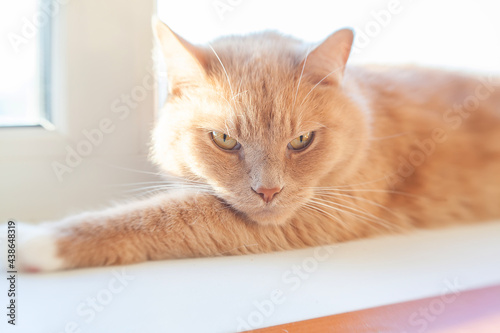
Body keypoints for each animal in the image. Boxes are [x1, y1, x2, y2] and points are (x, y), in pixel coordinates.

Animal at [7, 19, 500, 272]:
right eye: (224, 140)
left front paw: (39, 240)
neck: (372, 120)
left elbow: (168, 215)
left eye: (301, 140)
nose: (268, 192)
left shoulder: (321, 213)